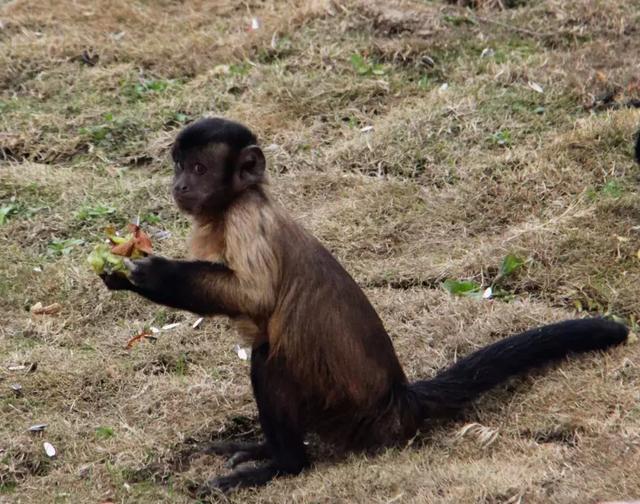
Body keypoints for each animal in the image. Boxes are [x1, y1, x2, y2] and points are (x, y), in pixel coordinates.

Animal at [101, 117, 632, 492]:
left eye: (198, 169)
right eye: (178, 166)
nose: (179, 186)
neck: (234, 204)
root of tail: (398, 398)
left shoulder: (248, 219)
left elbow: (255, 297)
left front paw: (151, 274)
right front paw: (117, 271)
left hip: (344, 408)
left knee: (269, 356)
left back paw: (285, 465)